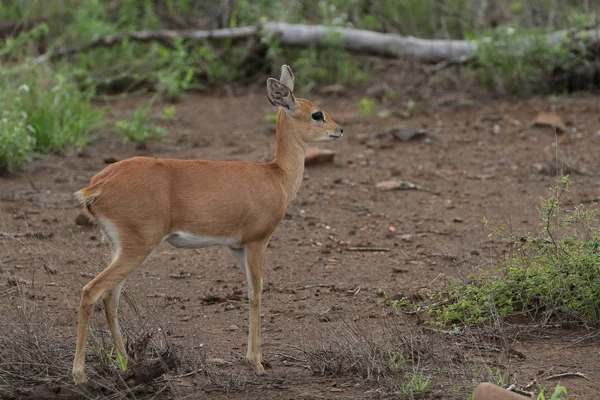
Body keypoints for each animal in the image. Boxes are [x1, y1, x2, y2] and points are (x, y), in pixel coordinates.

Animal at [71, 65, 342, 384]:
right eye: (317, 114)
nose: (339, 130)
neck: (276, 176)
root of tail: (97, 186)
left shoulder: (236, 247)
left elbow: (251, 290)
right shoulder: (257, 242)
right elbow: (257, 291)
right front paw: (257, 363)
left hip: (122, 248)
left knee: (110, 296)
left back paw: (126, 365)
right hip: (137, 248)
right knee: (91, 291)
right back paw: (80, 375)